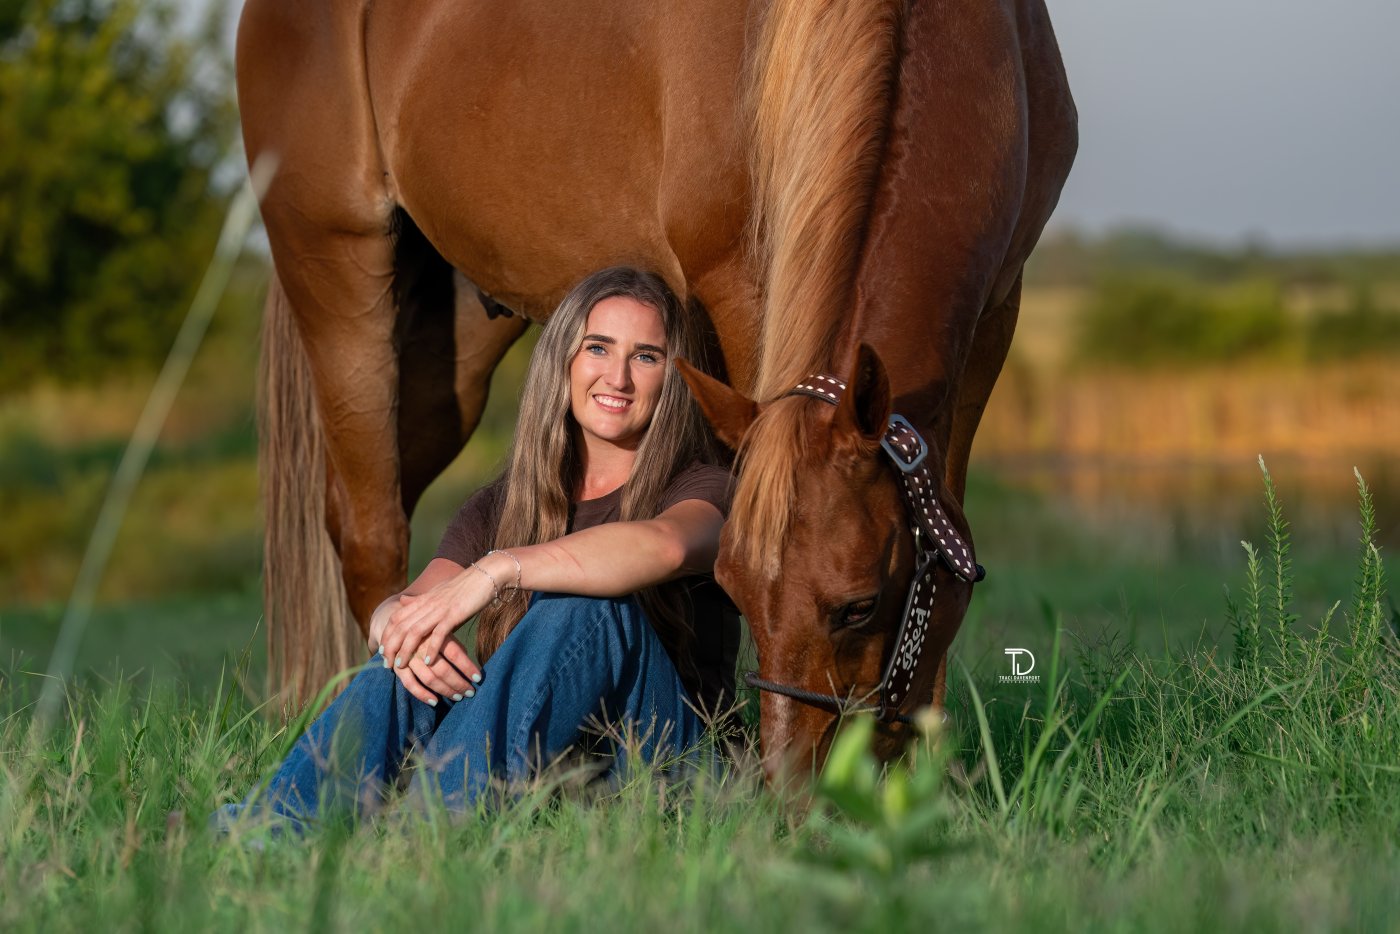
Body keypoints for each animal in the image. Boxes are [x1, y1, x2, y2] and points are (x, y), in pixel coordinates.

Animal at [236, 0, 1076, 779]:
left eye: (860, 605)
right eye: (738, 588)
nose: (796, 793)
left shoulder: (996, 313)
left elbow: (948, 533)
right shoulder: (742, 284)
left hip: (455, 337)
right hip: (337, 267)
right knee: (369, 529)